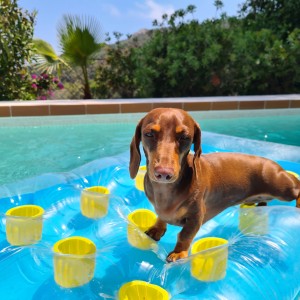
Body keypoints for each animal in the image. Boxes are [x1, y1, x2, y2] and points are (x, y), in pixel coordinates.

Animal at [129, 107, 300, 260]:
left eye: (185, 137)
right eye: (149, 134)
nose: (164, 173)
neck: (165, 191)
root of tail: (273, 163)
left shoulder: (196, 216)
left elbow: (184, 235)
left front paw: (179, 253)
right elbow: (161, 217)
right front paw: (157, 228)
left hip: (281, 188)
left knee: (297, 187)